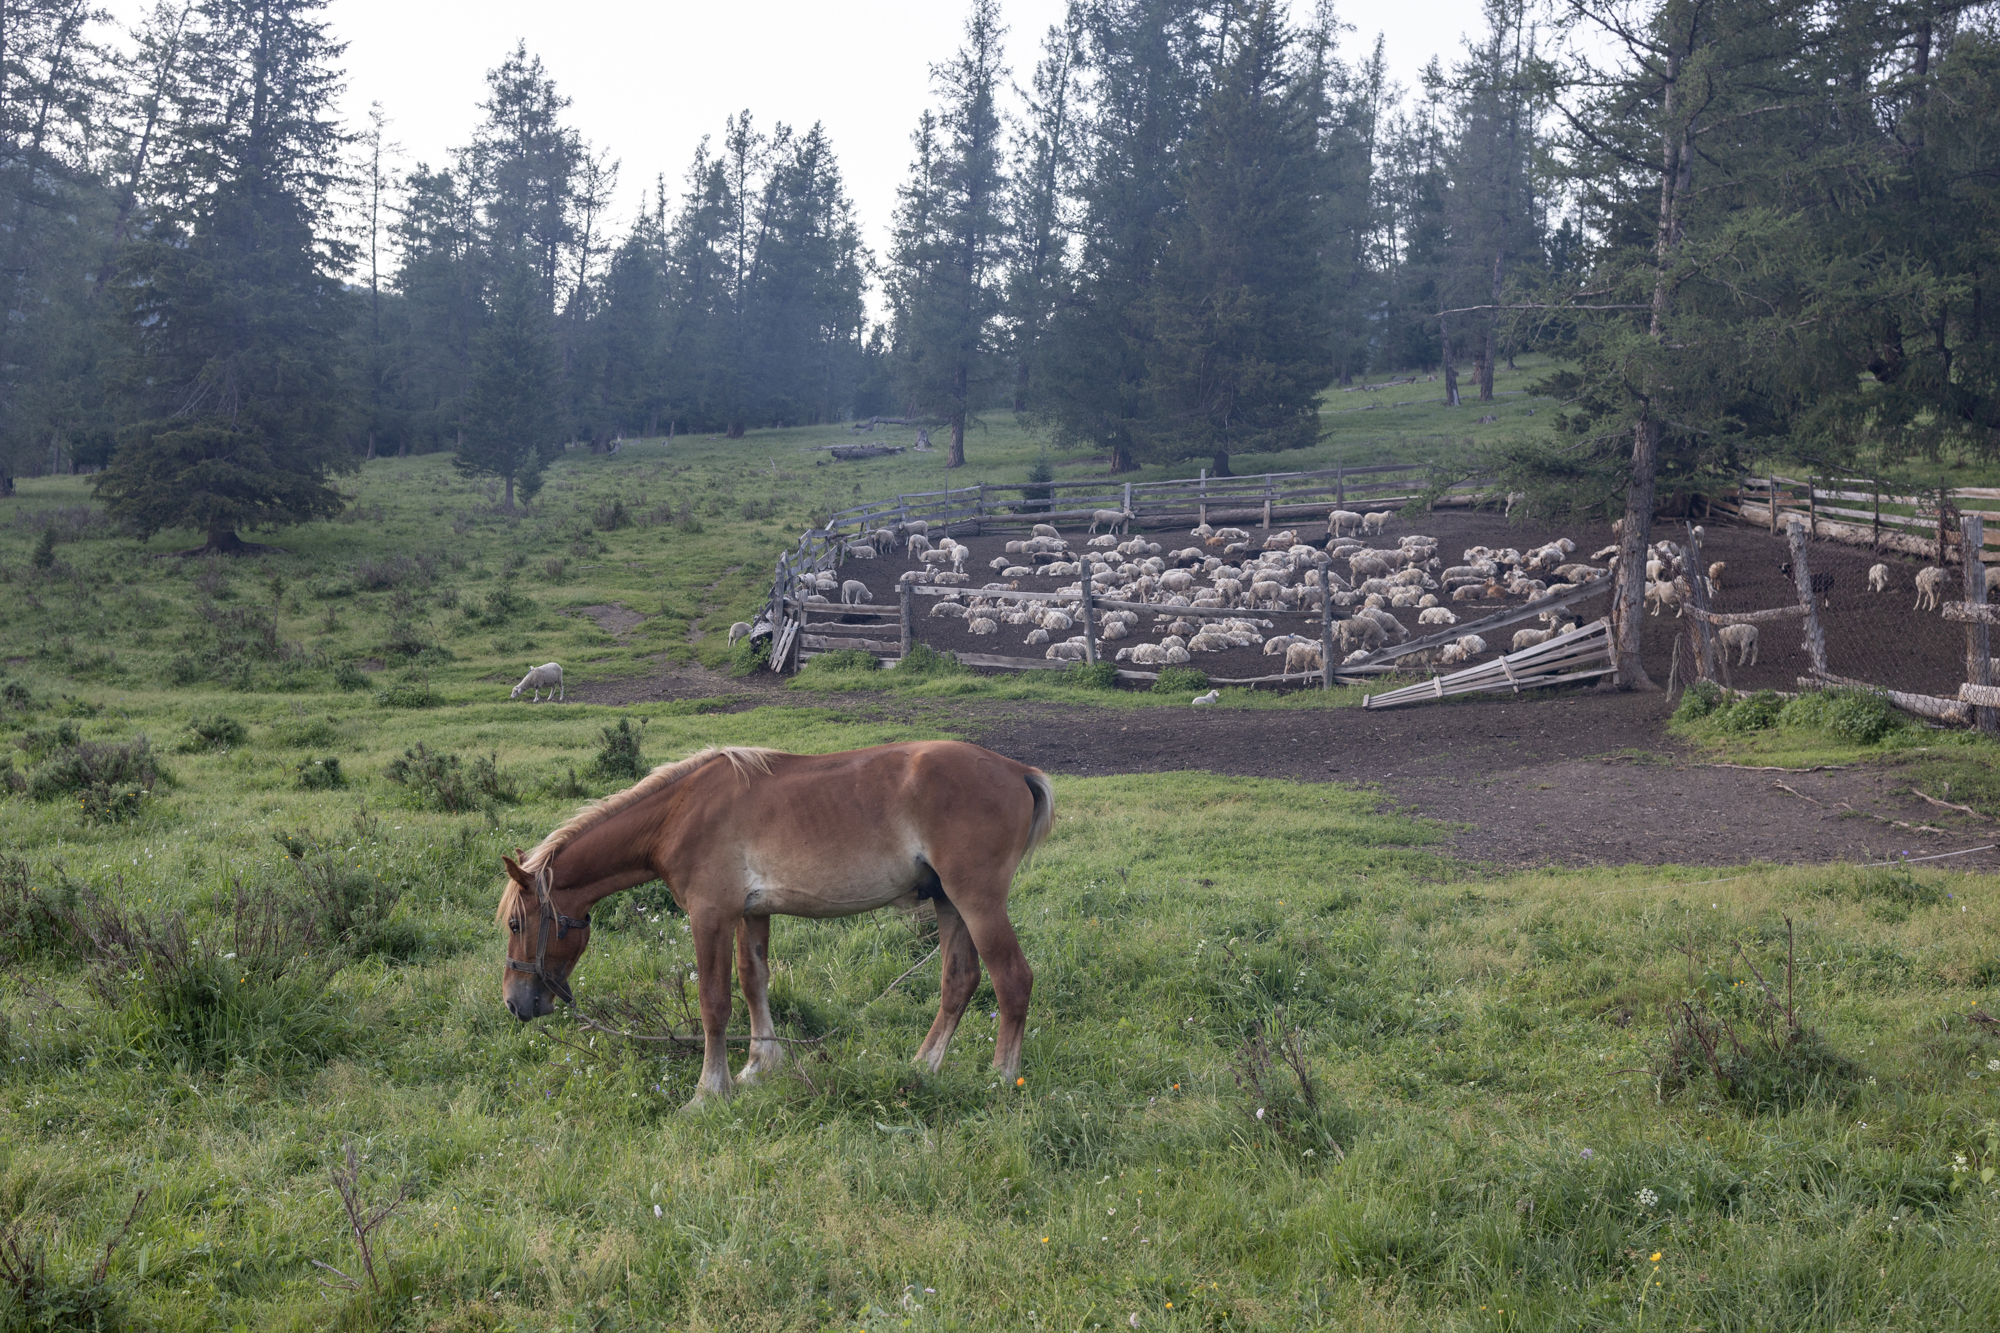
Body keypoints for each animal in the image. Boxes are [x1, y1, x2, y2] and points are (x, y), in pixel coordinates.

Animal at [500, 736, 1056, 1096]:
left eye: (514, 924)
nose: (514, 1002)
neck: (681, 813)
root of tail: (1017, 772)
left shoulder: (711, 915)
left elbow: (714, 1002)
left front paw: (709, 1090)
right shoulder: (752, 914)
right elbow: (753, 983)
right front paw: (757, 1066)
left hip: (977, 902)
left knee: (1012, 980)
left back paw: (1001, 1079)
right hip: (948, 903)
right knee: (958, 982)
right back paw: (923, 1067)